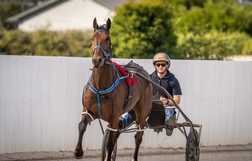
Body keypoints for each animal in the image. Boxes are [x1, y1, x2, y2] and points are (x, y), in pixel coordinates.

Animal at [74, 17, 153, 161]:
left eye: (107, 39)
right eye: (92, 38)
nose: (97, 60)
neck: (100, 87)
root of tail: (143, 72)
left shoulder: (114, 117)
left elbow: (110, 143)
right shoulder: (89, 110)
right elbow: (82, 126)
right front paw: (78, 151)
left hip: (142, 113)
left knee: (138, 137)